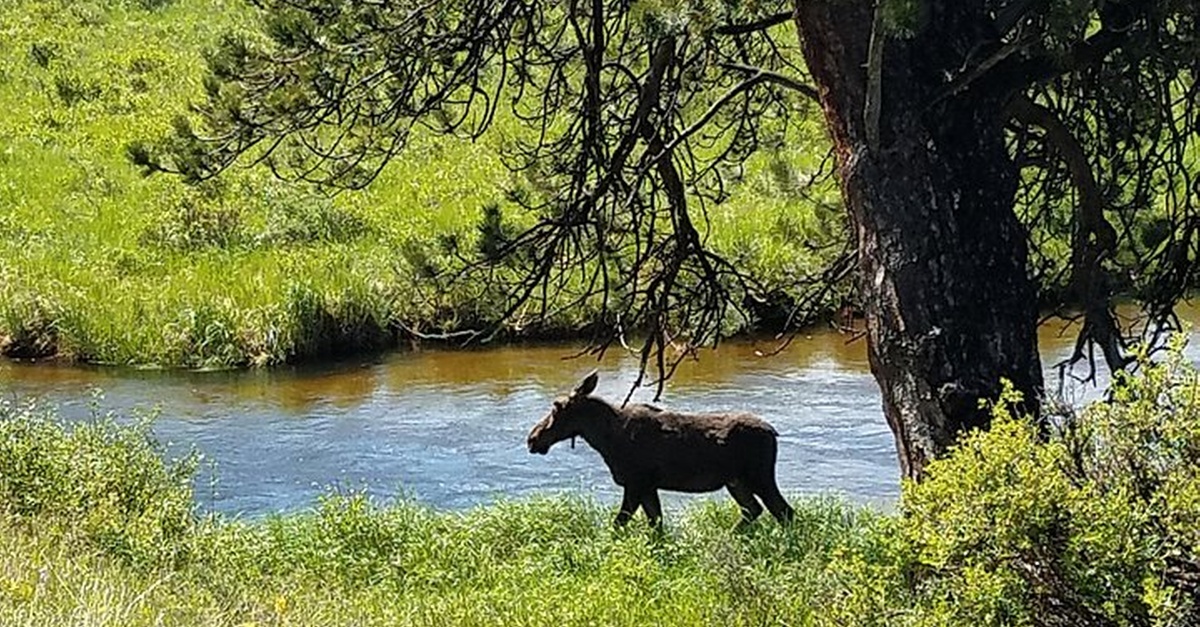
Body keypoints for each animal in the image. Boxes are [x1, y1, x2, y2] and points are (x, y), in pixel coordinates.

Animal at [528, 367, 796, 523]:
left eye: (556, 407)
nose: (532, 438)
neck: (605, 440)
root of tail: (774, 433)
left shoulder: (636, 483)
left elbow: (619, 524)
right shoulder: (647, 487)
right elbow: (656, 525)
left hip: (759, 476)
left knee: (784, 511)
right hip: (736, 481)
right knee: (754, 510)